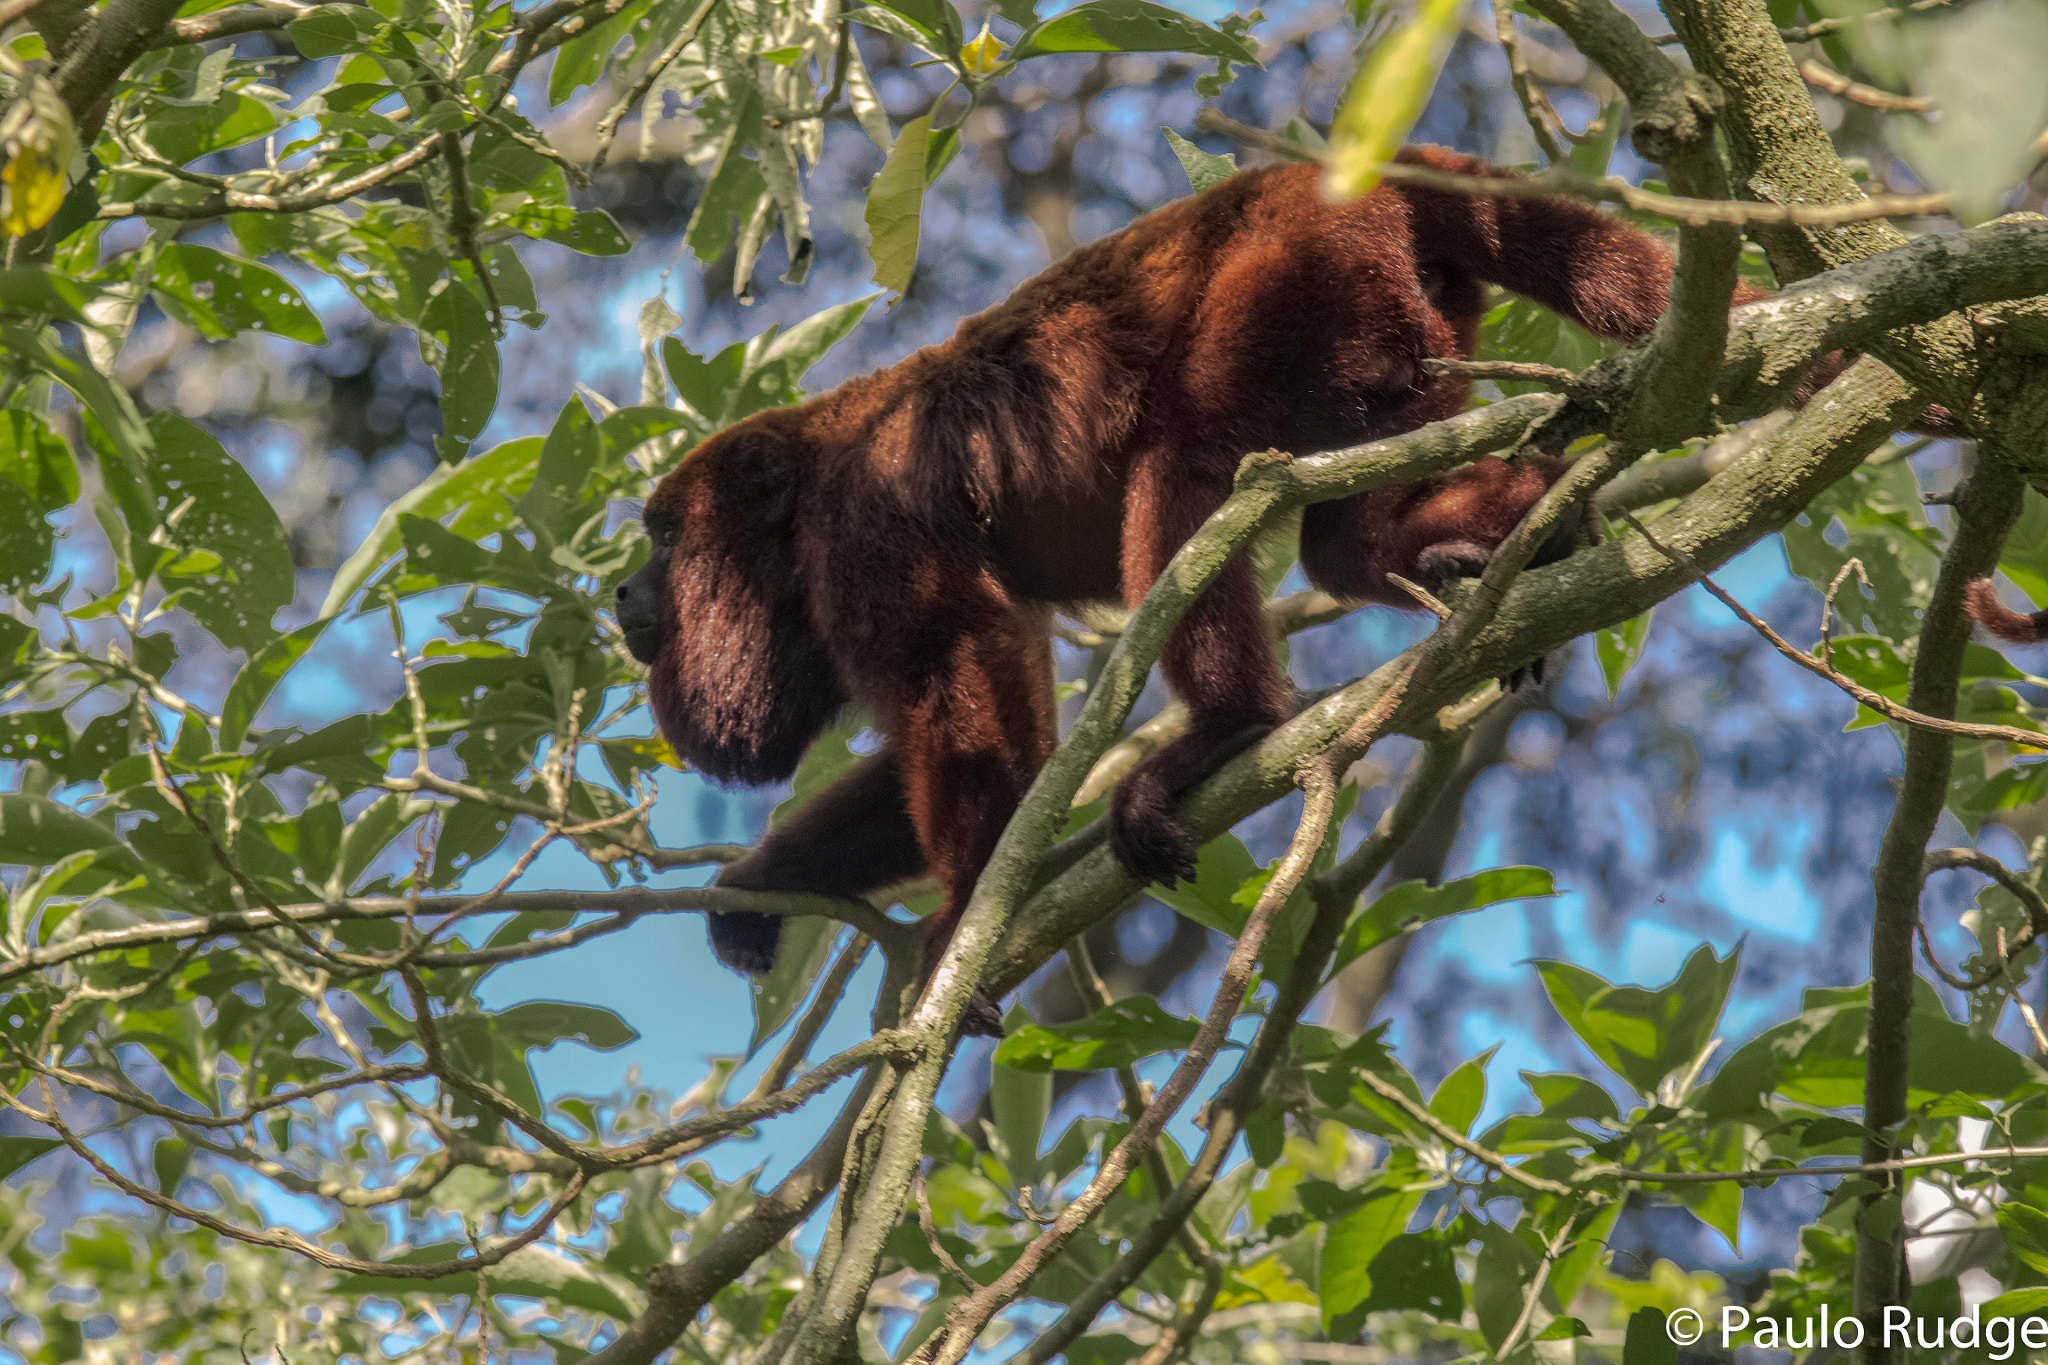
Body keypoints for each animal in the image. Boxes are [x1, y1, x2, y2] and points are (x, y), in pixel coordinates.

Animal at [602, 144, 1728, 1031]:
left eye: (664, 535)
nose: (620, 592)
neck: (796, 512)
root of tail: (1316, 171)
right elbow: (1003, 718)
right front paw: (756, 885)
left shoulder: (862, 528)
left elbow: (958, 670)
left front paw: (963, 914)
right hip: (1415, 322)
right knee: (1338, 542)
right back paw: (1527, 524)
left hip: (1294, 280)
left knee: (1186, 452)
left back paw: (1226, 727)